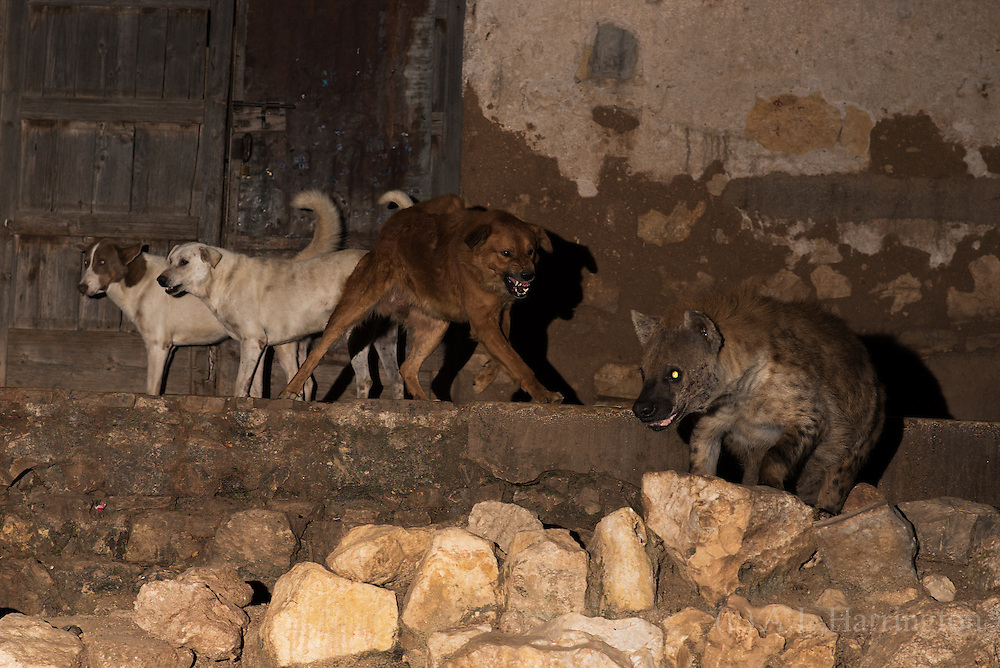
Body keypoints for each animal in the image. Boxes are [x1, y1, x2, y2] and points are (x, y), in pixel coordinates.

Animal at [156, 189, 402, 396]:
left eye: (184, 262)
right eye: (169, 260)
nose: (160, 279)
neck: (224, 280)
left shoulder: (252, 341)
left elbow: (240, 384)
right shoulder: (261, 347)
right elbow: (255, 388)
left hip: (351, 334)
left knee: (365, 379)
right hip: (383, 340)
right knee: (394, 381)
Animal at [280, 193, 564, 402]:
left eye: (531, 251)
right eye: (506, 253)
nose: (529, 276)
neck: (481, 267)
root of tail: (387, 232)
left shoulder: (501, 317)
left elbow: (506, 353)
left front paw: (483, 379)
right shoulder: (483, 323)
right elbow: (518, 362)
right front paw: (543, 394)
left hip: (436, 326)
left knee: (407, 367)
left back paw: (423, 399)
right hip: (352, 309)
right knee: (317, 352)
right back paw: (291, 389)